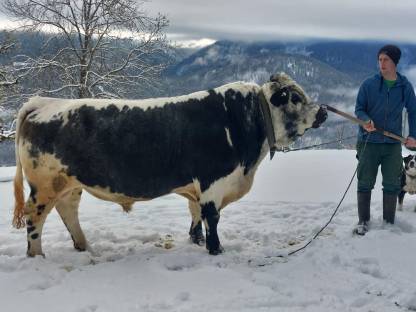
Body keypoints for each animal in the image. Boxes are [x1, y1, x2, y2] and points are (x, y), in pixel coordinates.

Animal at [13, 72, 326, 256]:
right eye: (295, 97)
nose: (323, 112)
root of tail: (43, 102)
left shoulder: (200, 186)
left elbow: (196, 214)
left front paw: (195, 241)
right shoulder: (213, 182)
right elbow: (212, 217)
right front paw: (216, 249)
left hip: (69, 184)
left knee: (68, 211)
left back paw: (84, 247)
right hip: (44, 187)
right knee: (35, 219)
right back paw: (37, 255)